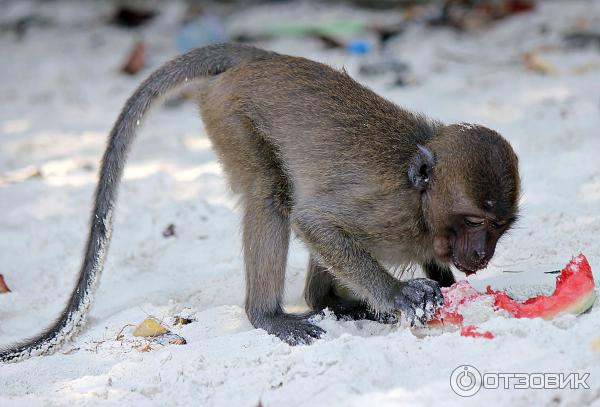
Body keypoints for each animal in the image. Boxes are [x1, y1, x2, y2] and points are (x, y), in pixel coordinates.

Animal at [0, 43, 516, 364]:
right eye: (472, 221)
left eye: (497, 228)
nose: (480, 253)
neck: (422, 208)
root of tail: (264, 57)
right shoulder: (389, 212)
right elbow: (314, 220)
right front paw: (398, 295)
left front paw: (439, 284)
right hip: (229, 113)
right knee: (272, 195)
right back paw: (269, 314)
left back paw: (329, 301)